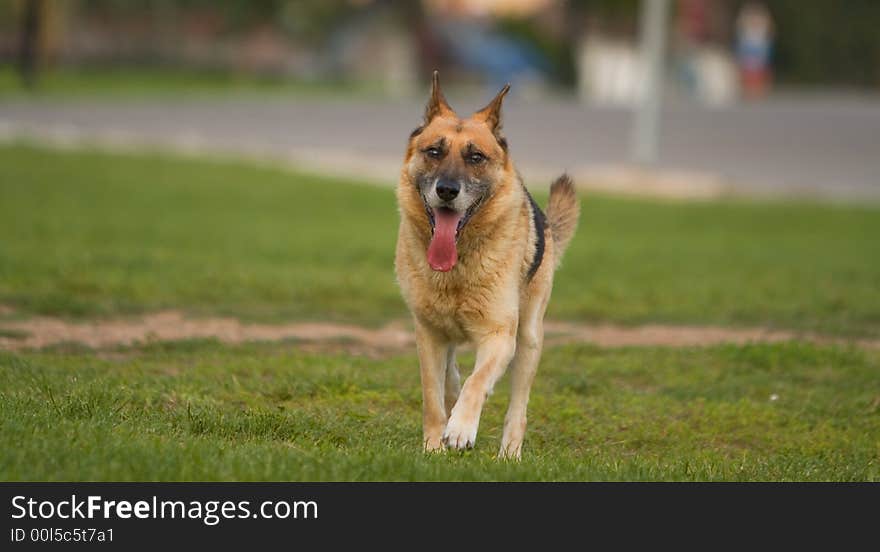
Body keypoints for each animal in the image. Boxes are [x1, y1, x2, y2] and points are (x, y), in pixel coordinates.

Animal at [398, 74, 576, 462]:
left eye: (475, 157)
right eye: (434, 151)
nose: (447, 190)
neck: (458, 266)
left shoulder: (499, 336)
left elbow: (477, 381)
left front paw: (461, 429)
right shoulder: (427, 333)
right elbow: (433, 399)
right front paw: (433, 448)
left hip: (529, 339)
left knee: (517, 409)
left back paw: (509, 455)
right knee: (451, 374)